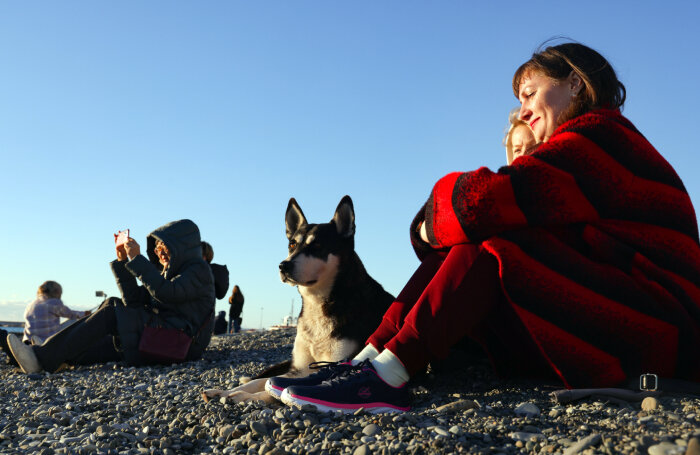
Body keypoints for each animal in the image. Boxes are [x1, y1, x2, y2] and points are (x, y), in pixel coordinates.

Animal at [202, 198, 394, 404]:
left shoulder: (333, 363)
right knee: (260, 377)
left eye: (317, 246)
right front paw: (230, 392)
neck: (319, 304)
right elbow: (263, 382)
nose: (283, 266)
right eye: (292, 245)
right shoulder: (300, 368)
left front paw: (244, 396)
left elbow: (274, 390)